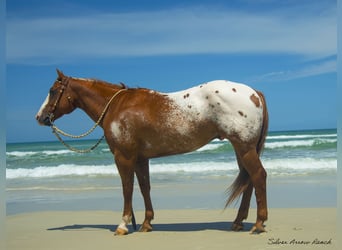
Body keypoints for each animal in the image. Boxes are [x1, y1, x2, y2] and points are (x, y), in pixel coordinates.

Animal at [36, 69, 268, 235]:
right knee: (249, 181)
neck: (117, 106)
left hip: (244, 147)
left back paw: (259, 223)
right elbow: (144, 188)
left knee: (258, 176)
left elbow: (127, 189)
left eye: (52, 91)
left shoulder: (123, 157)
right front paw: (146, 223)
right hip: (242, 149)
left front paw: (123, 225)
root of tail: (254, 92)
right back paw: (238, 222)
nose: (40, 117)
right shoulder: (140, 159)